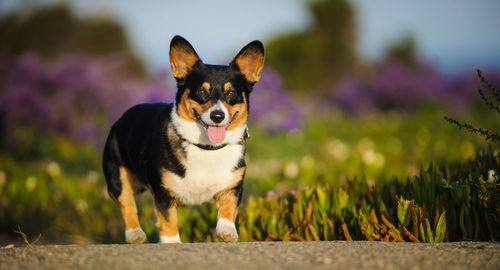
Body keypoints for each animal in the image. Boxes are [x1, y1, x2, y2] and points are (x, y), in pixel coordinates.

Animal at [102, 34, 266, 244]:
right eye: (202, 92)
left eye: (232, 93)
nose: (217, 116)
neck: (206, 147)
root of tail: (121, 118)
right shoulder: (163, 193)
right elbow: (168, 220)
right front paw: (172, 242)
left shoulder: (233, 186)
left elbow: (228, 208)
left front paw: (227, 230)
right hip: (118, 178)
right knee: (127, 205)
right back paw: (135, 234)